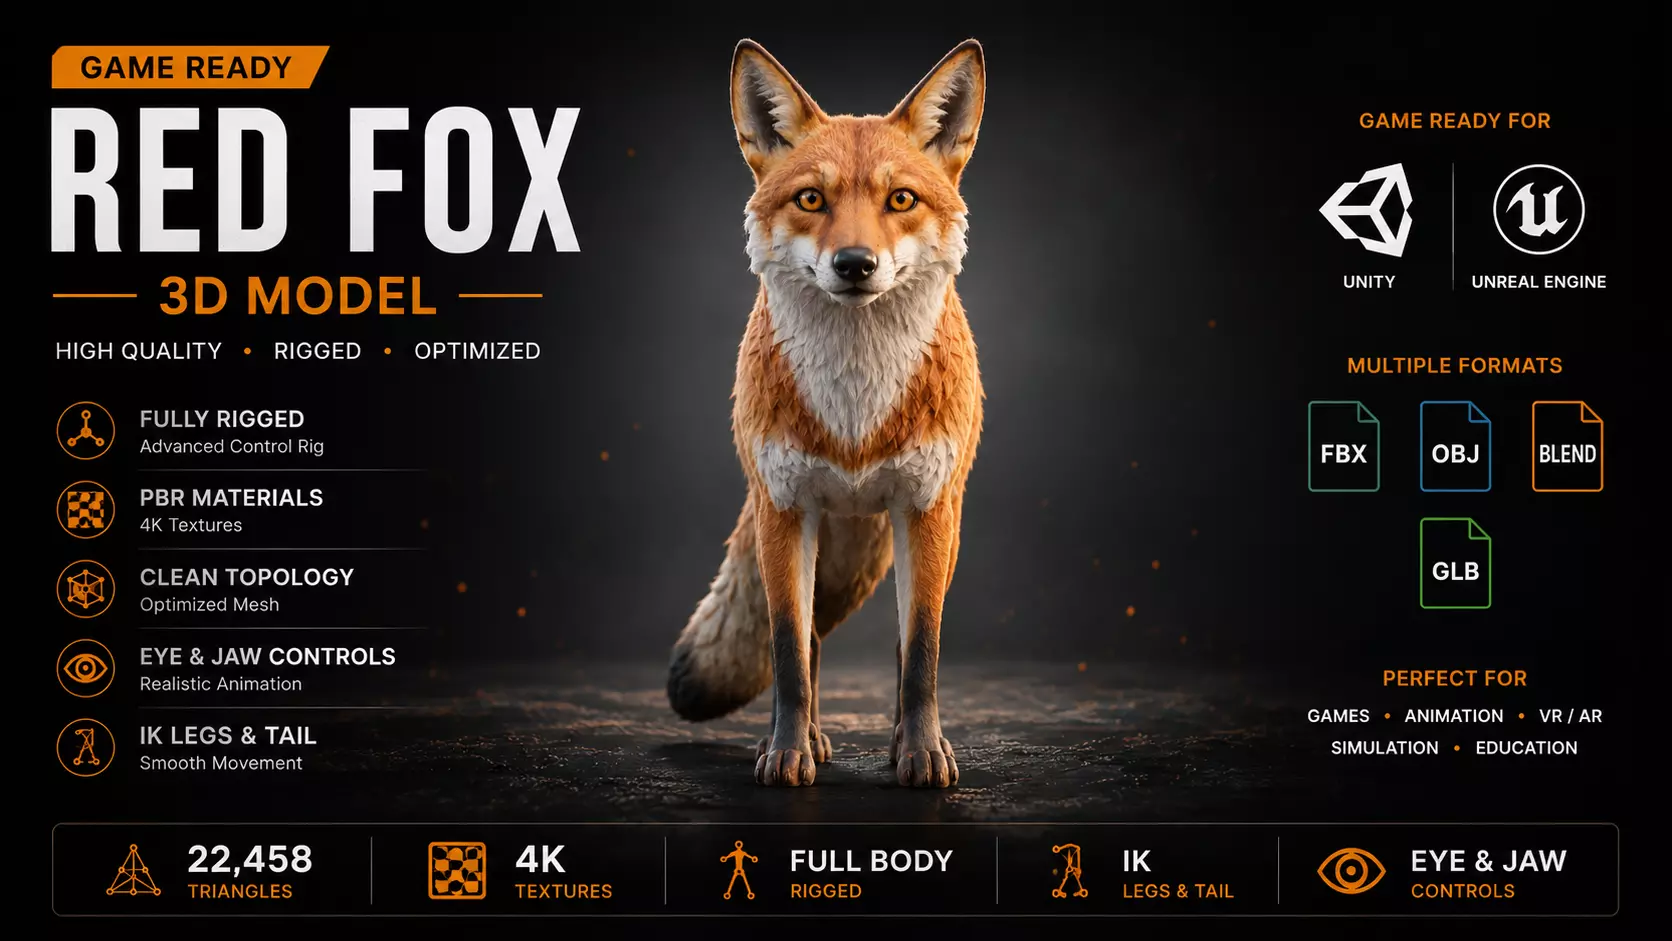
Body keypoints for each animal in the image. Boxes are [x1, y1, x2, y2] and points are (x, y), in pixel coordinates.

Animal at [666, 39, 986, 789]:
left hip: (910, 538)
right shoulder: (786, 509)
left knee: (900, 646)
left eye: (901, 199)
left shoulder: (928, 508)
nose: (855, 263)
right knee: (807, 643)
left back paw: (898, 739)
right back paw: (807, 737)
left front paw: (921, 754)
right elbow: (789, 653)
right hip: (805, 536)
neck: (855, 415)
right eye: (812, 198)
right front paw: (786, 755)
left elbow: (920, 654)